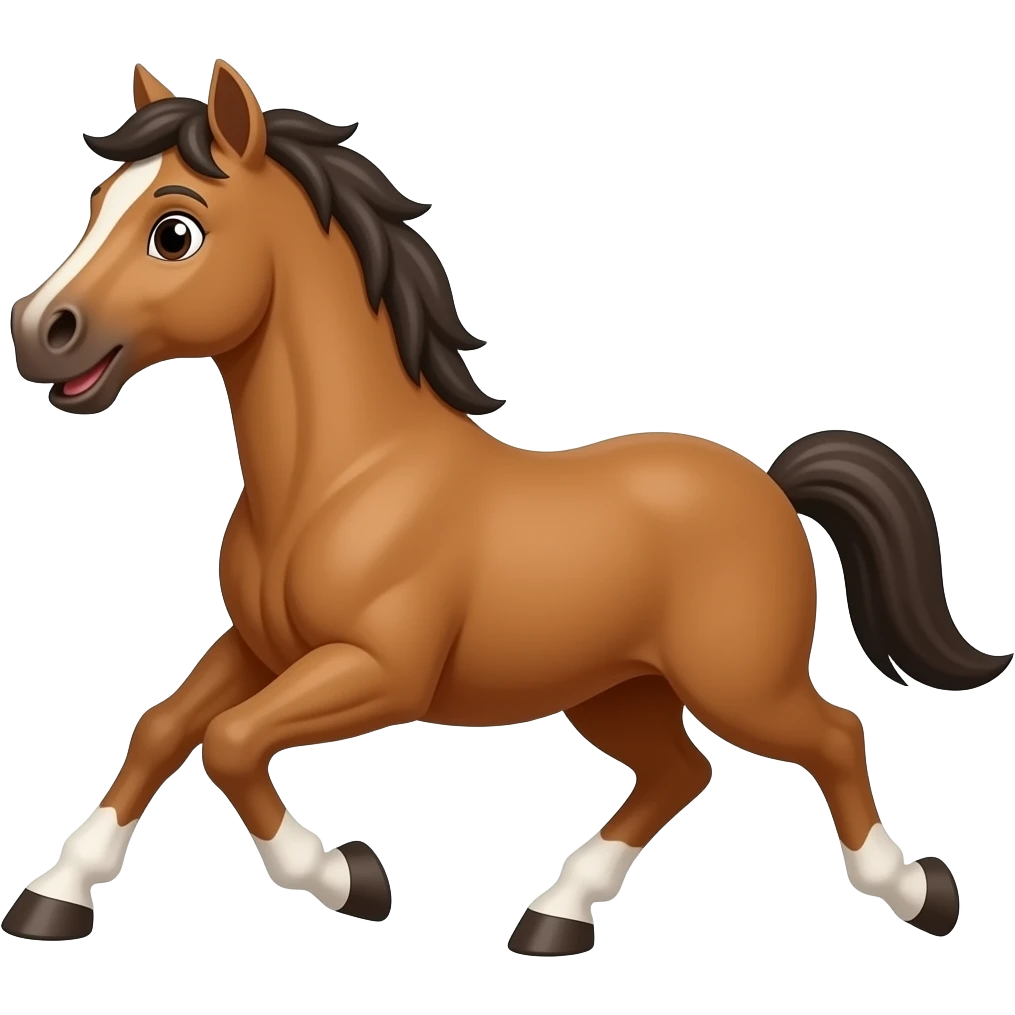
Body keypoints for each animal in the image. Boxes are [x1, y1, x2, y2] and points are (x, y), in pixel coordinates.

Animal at [5, 59, 1010, 954]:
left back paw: (919, 892)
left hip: (738, 682)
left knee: (834, 735)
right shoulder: (263, 648)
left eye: (175, 231)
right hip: (617, 688)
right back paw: (556, 918)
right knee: (680, 771)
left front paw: (349, 878)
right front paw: (55, 897)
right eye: (96, 206)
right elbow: (163, 728)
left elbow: (231, 741)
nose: (39, 331)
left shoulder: (379, 669)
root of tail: (769, 481)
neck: (345, 477)